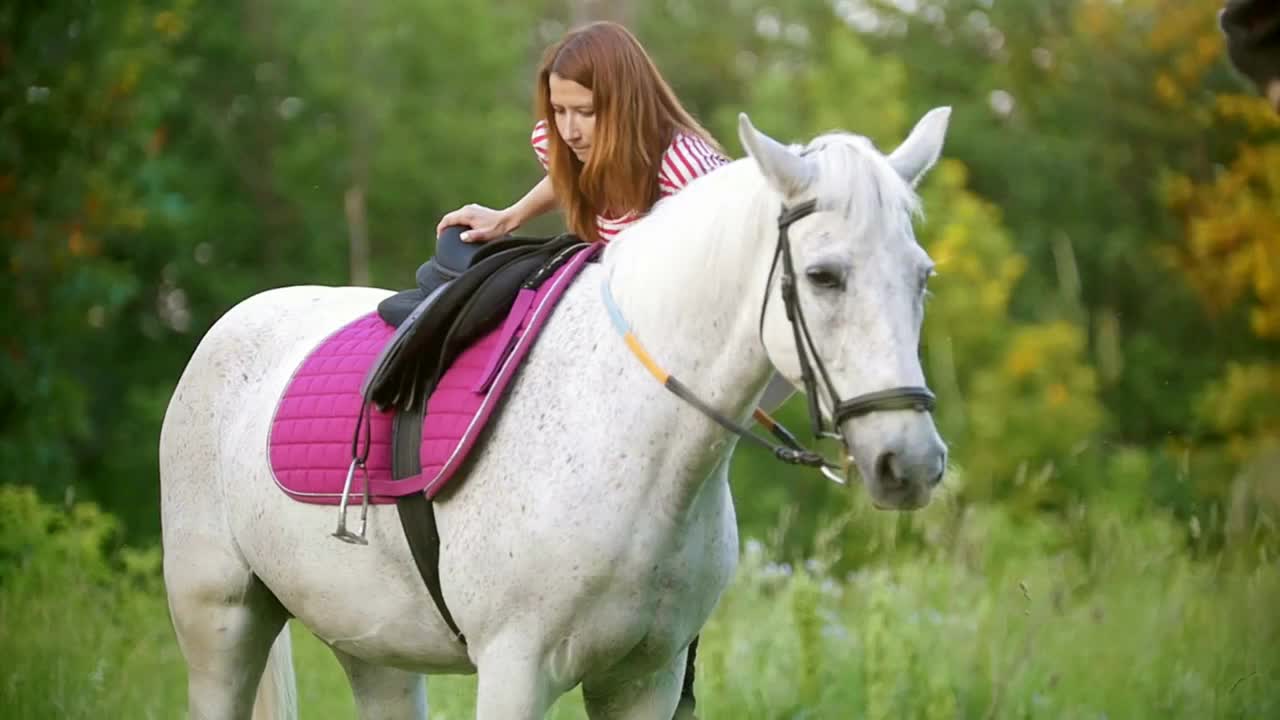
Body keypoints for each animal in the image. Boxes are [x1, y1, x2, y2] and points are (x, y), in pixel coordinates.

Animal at [157, 107, 952, 717]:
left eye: (922, 277)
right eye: (823, 276)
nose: (910, 461)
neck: (637, 443)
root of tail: (228, 328)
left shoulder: (646, 678)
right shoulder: (516, 669)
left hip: (370, 644)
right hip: (220, 621)